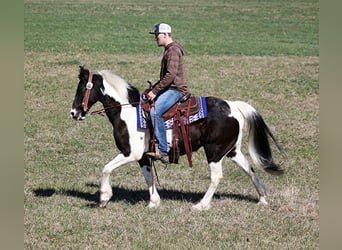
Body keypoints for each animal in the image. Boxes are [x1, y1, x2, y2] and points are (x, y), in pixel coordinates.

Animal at [69, 65, 284, 210]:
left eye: (82, 88)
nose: (73, 113)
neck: (127, 112)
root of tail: (233, 106)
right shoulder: (143, 157)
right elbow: (148, 177)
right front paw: (154, 202)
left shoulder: (130, 153)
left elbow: (106, 168)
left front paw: (104, 198)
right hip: (231, 150)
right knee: (249, 169)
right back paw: (262, 198)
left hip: (214, 151)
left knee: (217, 177)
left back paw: (201, 205)